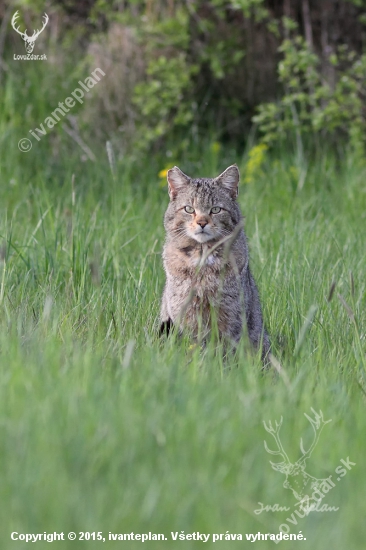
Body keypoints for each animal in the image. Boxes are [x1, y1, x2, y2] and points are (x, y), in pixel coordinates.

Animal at [159, 164, 270, 362]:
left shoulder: (230, 316)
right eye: (189, 209)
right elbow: (194, 350)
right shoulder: (186, 316)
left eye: (216, 210)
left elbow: (224, 353)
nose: (202, 222)